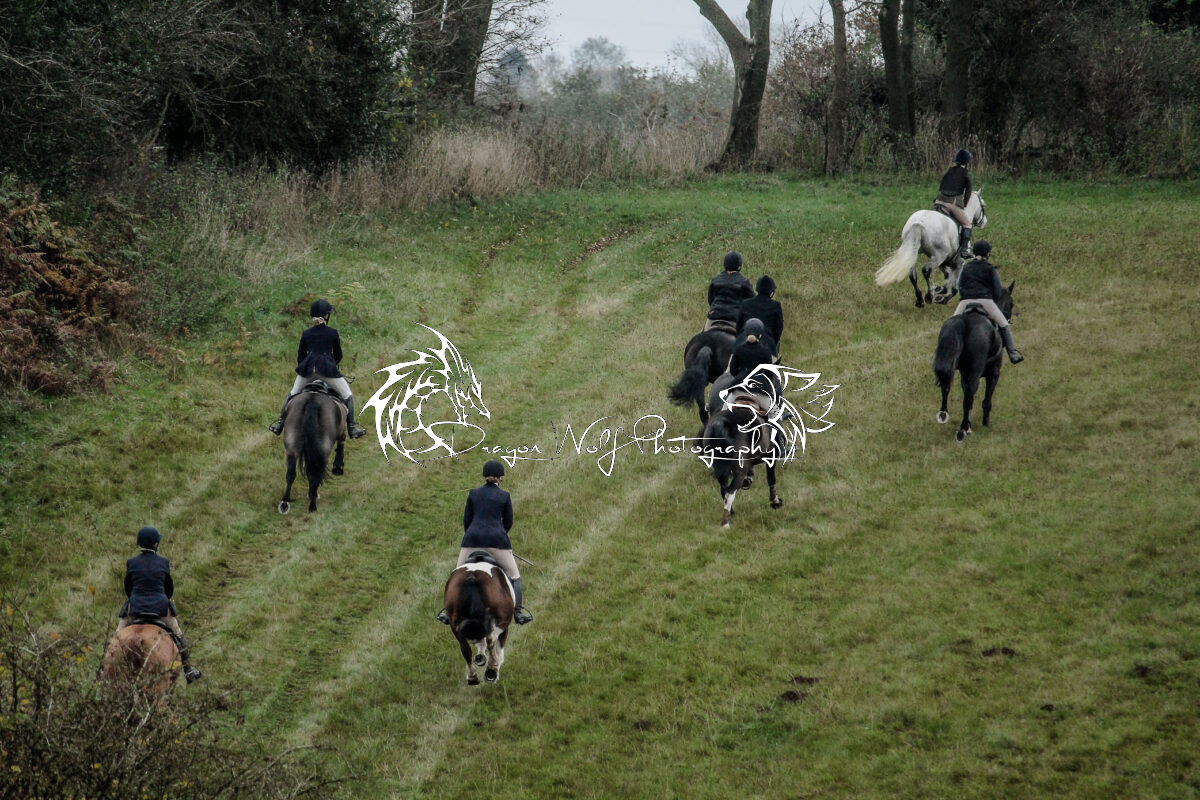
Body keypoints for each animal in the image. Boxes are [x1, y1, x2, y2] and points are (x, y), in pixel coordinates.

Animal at [279, 382, 346, 514]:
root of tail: (312, 402)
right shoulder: (340, 433)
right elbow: (340, 447)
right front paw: (338, 467)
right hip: (322, 451)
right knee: (315, 475)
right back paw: (312, 505)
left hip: (291, 448)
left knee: (291, 474)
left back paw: (285, 502)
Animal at [441, 552, 514, 685]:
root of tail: (472, 577)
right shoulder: (503, 625)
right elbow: (498, 648)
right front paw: (495, 665)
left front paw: (480, 658)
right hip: (501, 620)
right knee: (491, 639)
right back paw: (491, 671)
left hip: (455, 625)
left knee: (465, 648)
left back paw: (472, 677)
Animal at [933, 283, 1015, 442]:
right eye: (1012, 303)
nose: (1008, 318)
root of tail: (963, 322)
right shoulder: (994, 373)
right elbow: (985, 401)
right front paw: (985, 424)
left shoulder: (964, 373)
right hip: (977, 372)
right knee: (970, 392)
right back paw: (962, 430)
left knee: (947, 387)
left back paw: (944, 415)